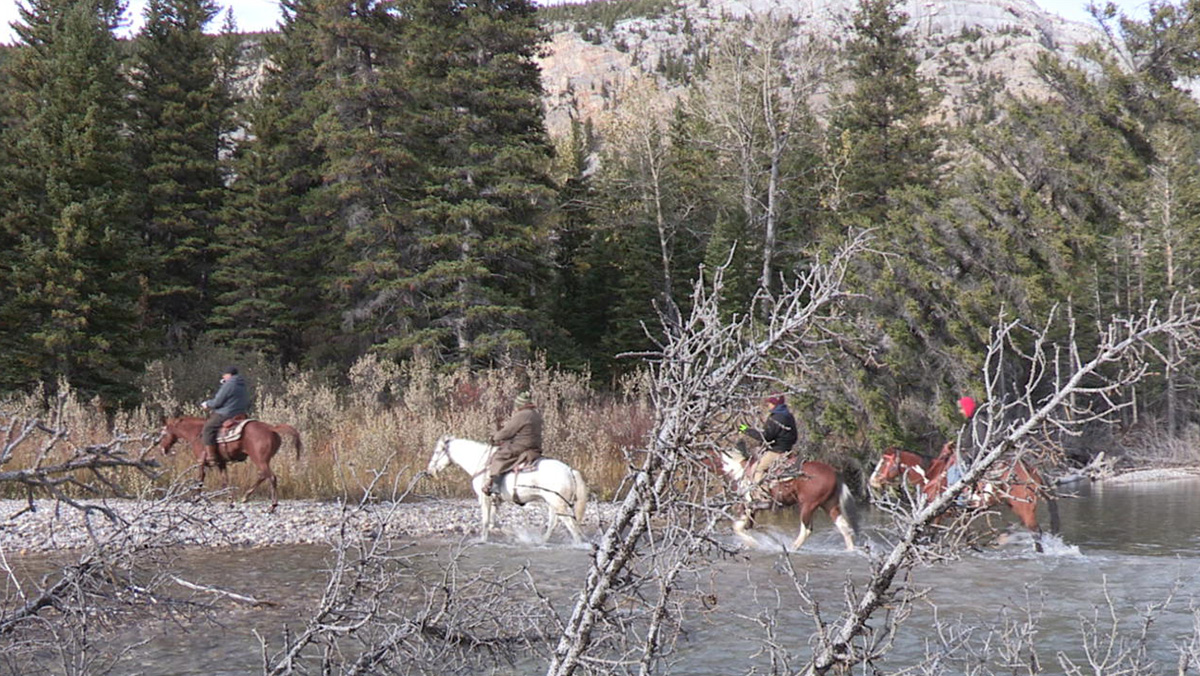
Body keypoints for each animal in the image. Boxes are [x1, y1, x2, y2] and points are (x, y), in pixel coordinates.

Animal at [160, 417, 302, 513]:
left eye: (163, 433)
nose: (162, 449)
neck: (196, 433)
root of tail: (270, 428)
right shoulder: (221, 463)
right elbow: (225, 482)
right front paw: (230, 501)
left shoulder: (201, 462)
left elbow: (200, 480)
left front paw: (196, 499)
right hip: (263, 460)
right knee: (263, 475)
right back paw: (245, 497)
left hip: (259, 459)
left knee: (271, 477)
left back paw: (272, 505)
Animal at [427, 439, 590, 545]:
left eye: (437, 451)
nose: (429, 471)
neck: (481, 463)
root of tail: (570, 470)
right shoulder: (496, 501)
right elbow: (493, 522)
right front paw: (514, 535)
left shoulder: (484, 498)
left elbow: (486, 522)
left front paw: (482, 540)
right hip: (553, 503)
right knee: (554, 523)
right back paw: (541, 541)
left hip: (558, 504)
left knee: (571, 526)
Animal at [705, 446, 859, 552]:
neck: (738, 470)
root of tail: (834, 472)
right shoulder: (751, 508)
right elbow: (743, 527)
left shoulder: (747, 505)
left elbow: (737, 528)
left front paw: (754, 544)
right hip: (829, 504)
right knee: (844, 527)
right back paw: (850, 550)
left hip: (808, 505)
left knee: (806, 530)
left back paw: (792, 548)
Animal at [873, 446, 1060, 552]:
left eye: (884, 462)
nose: (872, 480)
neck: (933, 475)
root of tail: (1030, 470)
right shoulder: (960, 515)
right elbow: (967, 538)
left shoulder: (937, 515)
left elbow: (931, 535)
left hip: (1025, 508)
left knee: (1036, 532)